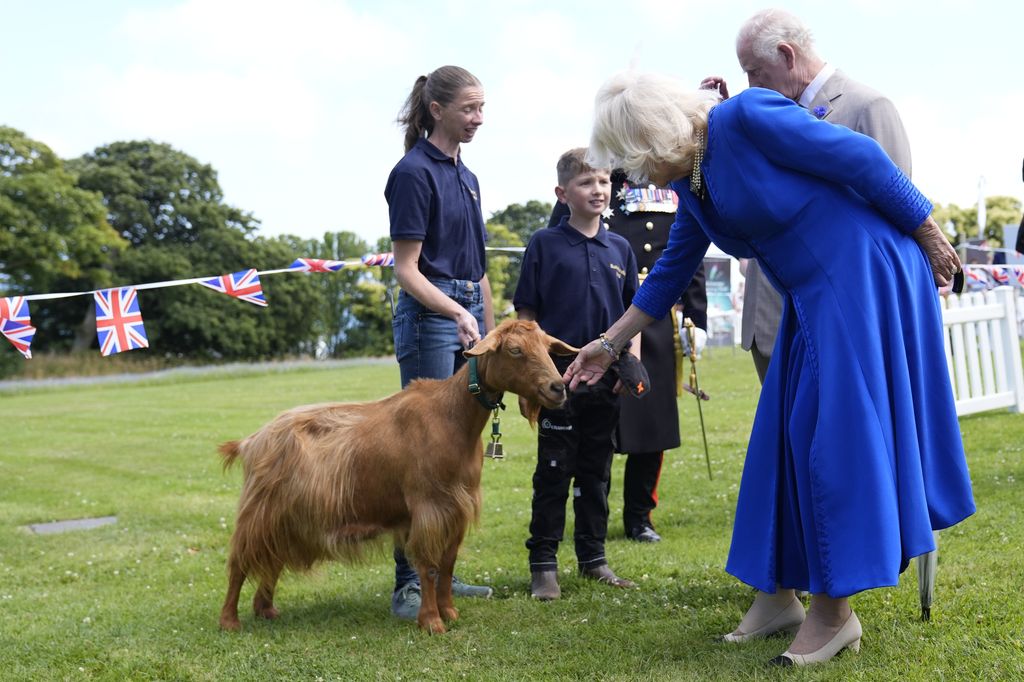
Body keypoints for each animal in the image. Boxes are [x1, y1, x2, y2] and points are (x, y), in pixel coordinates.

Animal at [217, 319, 577, 630]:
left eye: (548, 347)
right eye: (515, 349)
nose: (558, 388)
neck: (452, 417)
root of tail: (251, 441)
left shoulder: (457, 509)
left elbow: (448, 565)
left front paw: (450, 612)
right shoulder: (429, 507)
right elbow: (429, 567)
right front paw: (431, 622)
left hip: (286, 517)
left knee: (272, 558)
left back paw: (265, 610)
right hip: (259, 511)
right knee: (239, 562)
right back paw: (229, 621)